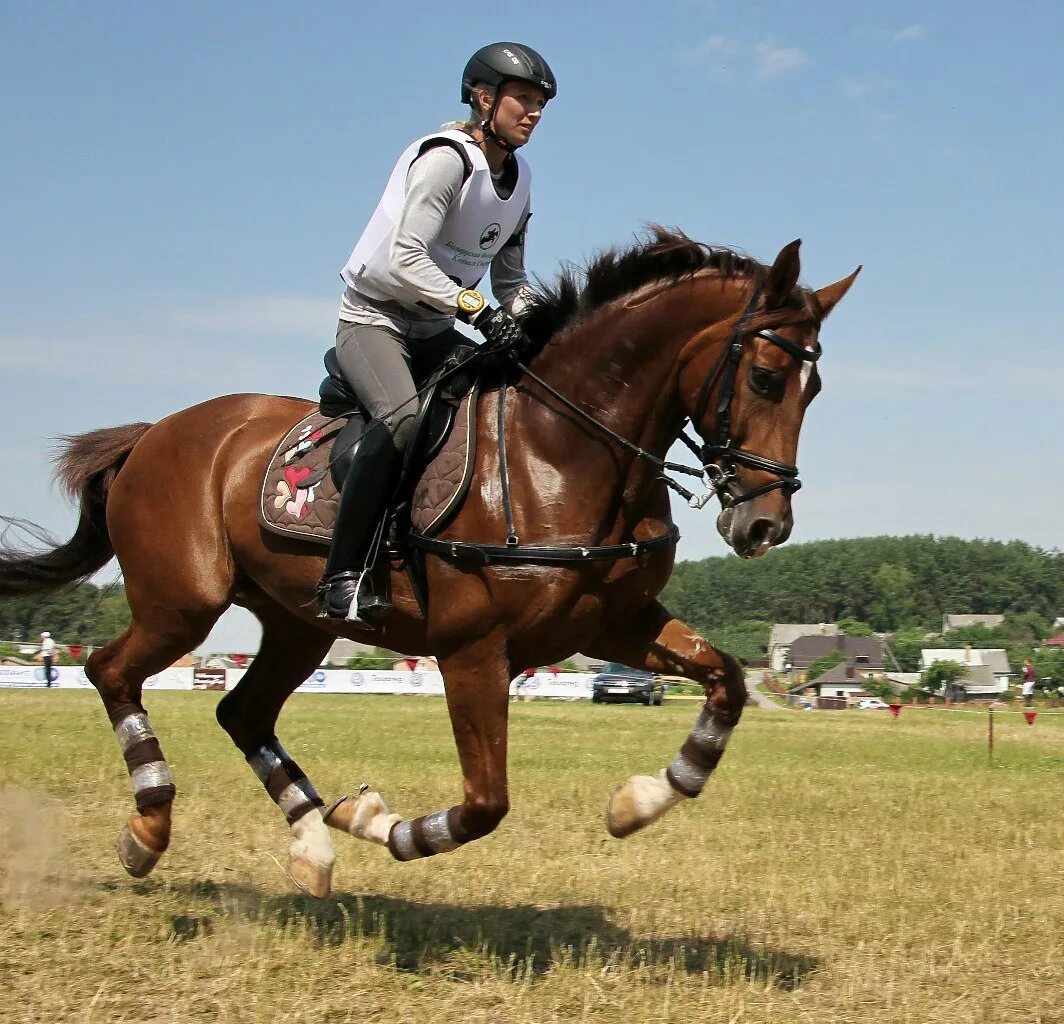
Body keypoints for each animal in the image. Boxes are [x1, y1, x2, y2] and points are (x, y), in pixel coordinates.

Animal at [0, 225, 855, 894]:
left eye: (813, 393)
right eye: (766, 378)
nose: (765, 524)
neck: (561, 454)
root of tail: (153, 432)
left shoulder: (612, 625)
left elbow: (726, 680)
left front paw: (640, 801)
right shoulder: (472, 651)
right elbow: (485, 803)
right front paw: (385, 826)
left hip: (298, 622)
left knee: (241, 711)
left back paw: (313, 843)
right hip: (183, 603)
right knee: (111, 671)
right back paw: (147, 830)